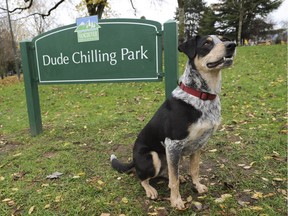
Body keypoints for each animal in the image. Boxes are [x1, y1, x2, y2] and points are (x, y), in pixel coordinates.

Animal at [111, 35, 236, 209]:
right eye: (207, 43)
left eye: (223, 39)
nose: (232, 45)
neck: (201, 95)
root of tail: (133, 160)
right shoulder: (173, 143)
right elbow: (174, 180)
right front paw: (176, 200)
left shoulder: (198, 144)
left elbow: (194, 170)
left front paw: (197, 186)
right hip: (154, 156)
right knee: (143, 177)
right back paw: (150, 189)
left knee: (167, 172)